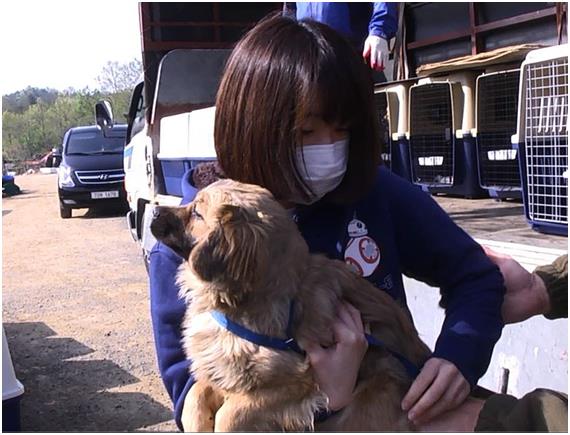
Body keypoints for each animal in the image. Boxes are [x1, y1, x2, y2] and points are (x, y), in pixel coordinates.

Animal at [149, 179, 428, 430]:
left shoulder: (294, 385)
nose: (153, 210)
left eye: (197, 213)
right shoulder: (221, 371)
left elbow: (228, 415)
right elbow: (195, 394)